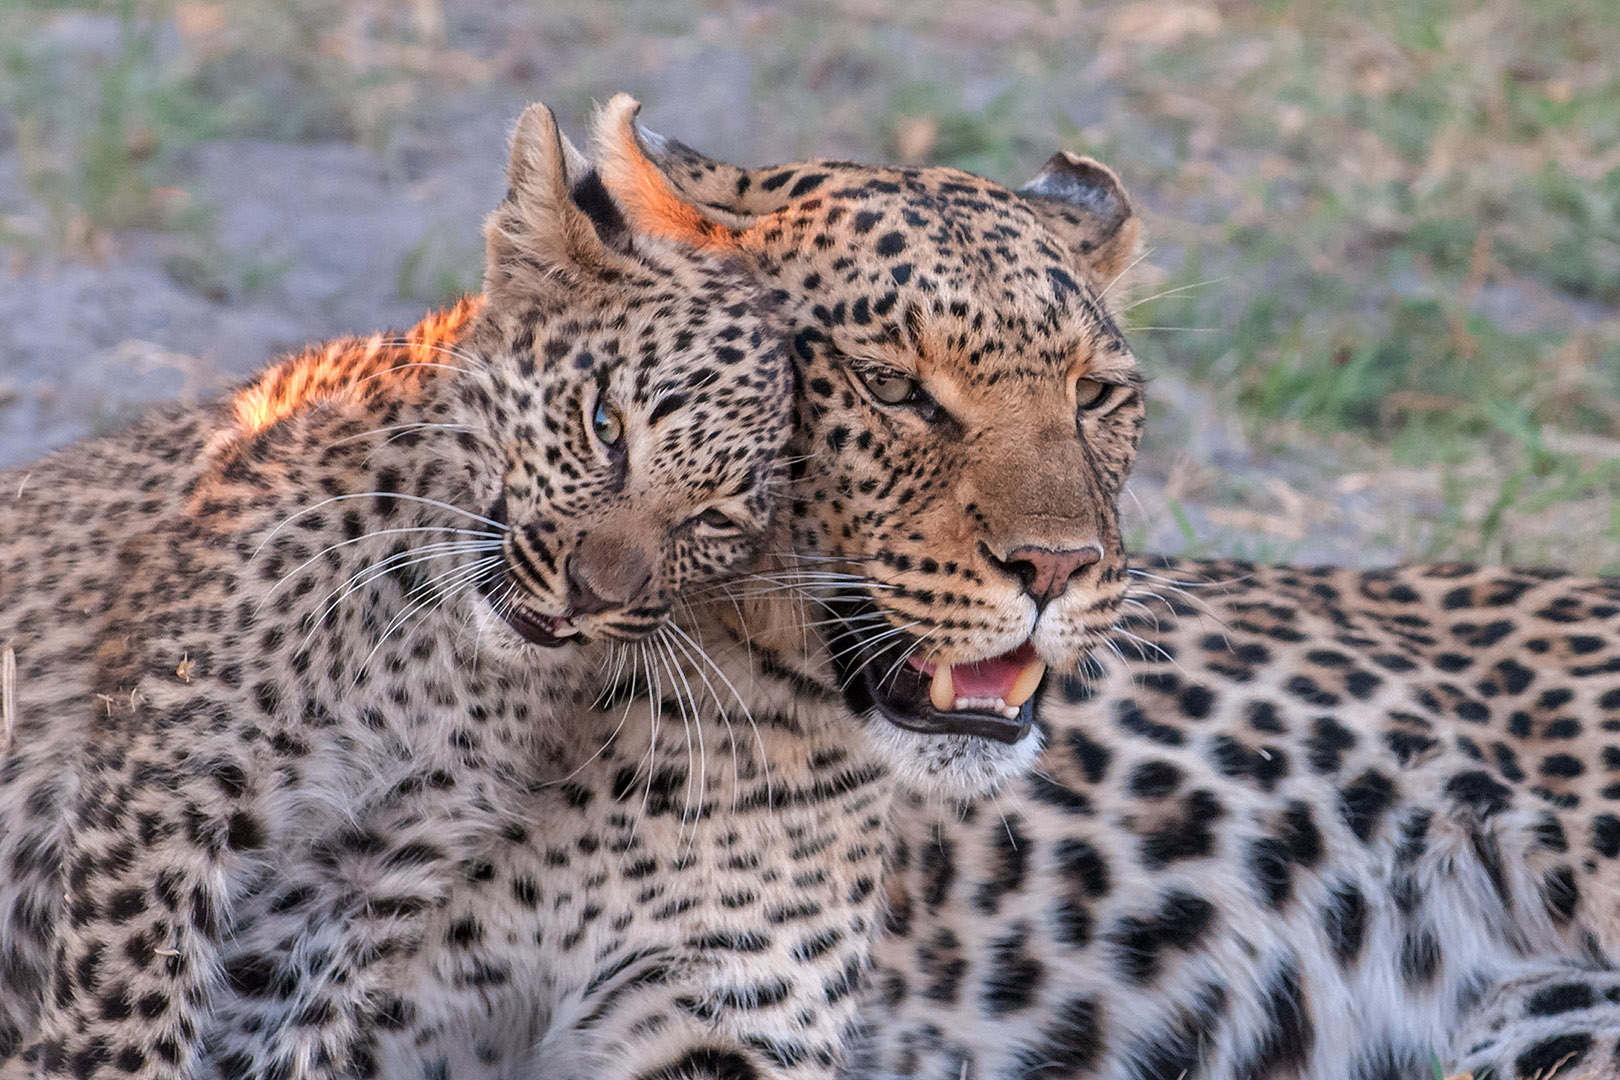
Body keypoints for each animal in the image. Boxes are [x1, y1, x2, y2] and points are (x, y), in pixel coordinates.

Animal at [0, 107, 797, 1080]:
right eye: (605, 424)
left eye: (715, 518)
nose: (592, 596)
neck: (438, 655)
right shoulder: (170, 791)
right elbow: (129, 1019)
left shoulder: (369, 872)